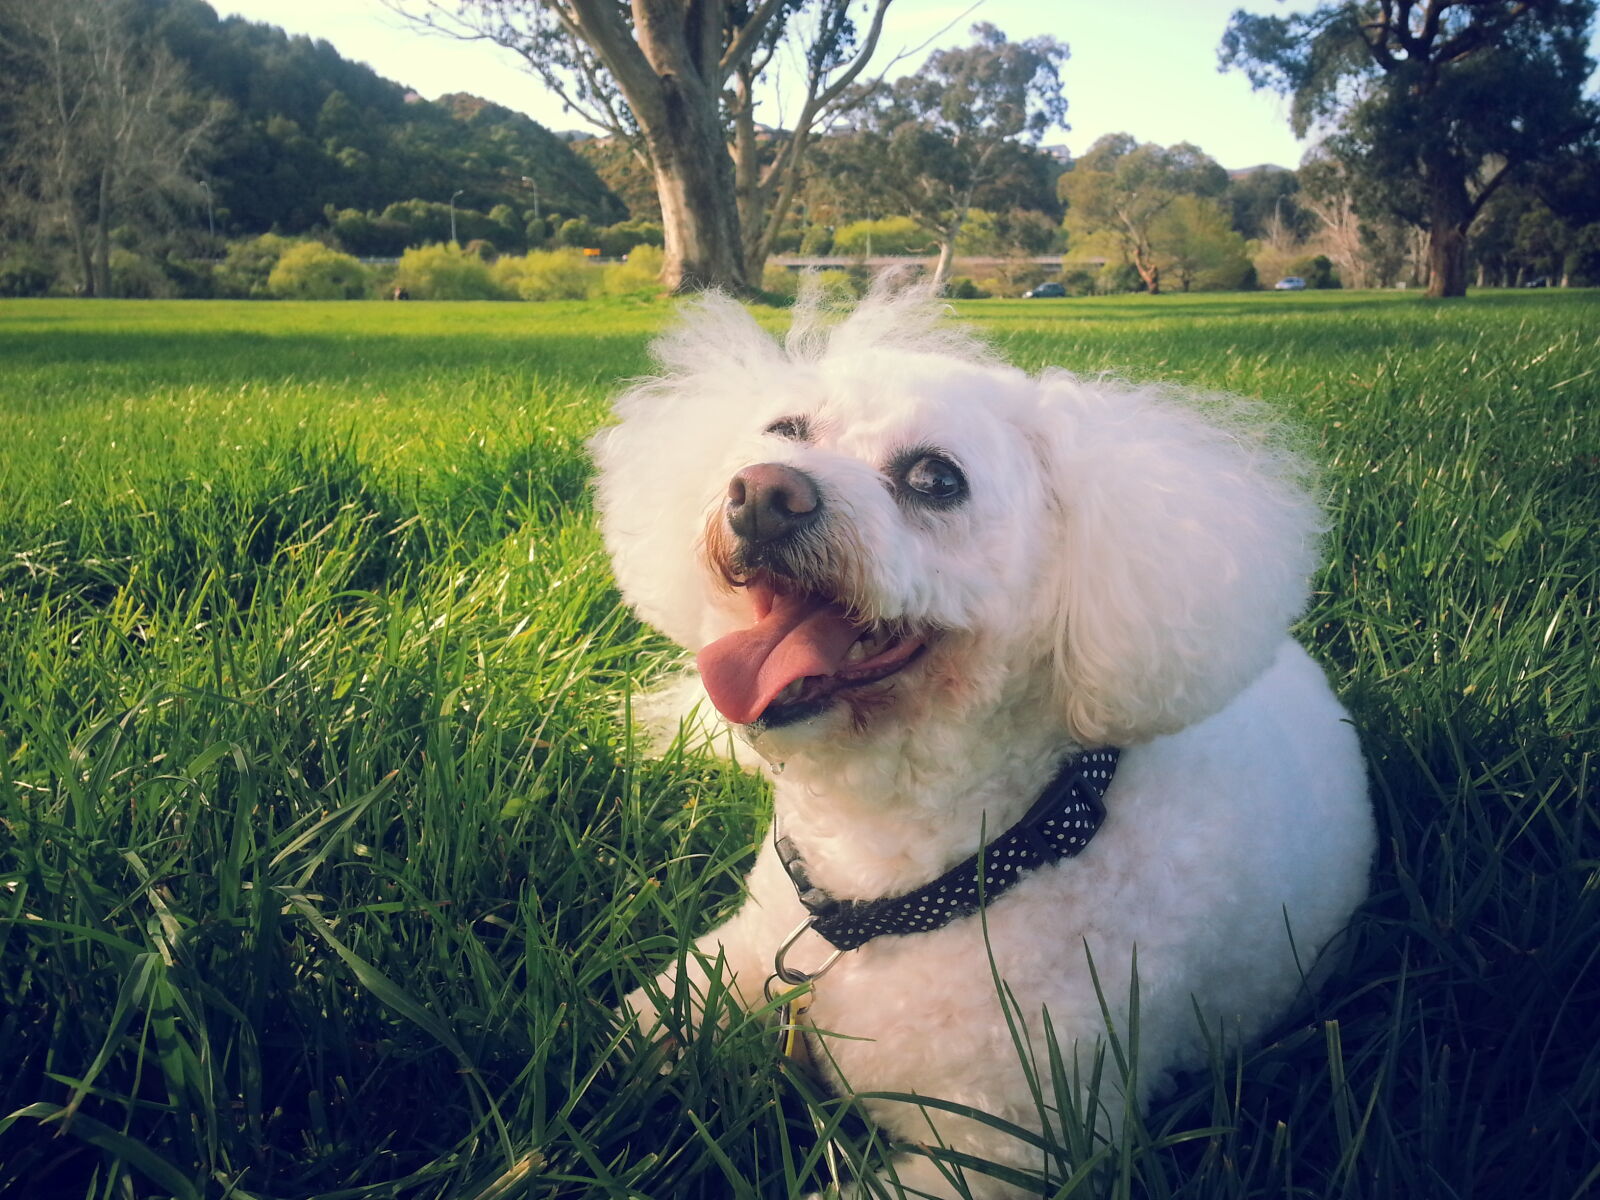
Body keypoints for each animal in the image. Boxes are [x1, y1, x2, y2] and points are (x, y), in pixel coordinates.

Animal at [592, 286, 1376, 1196]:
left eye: (937, 479)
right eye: (783, 430)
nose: (760, 491)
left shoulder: (1005, 1148)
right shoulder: (736, 956)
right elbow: (635, 1025)